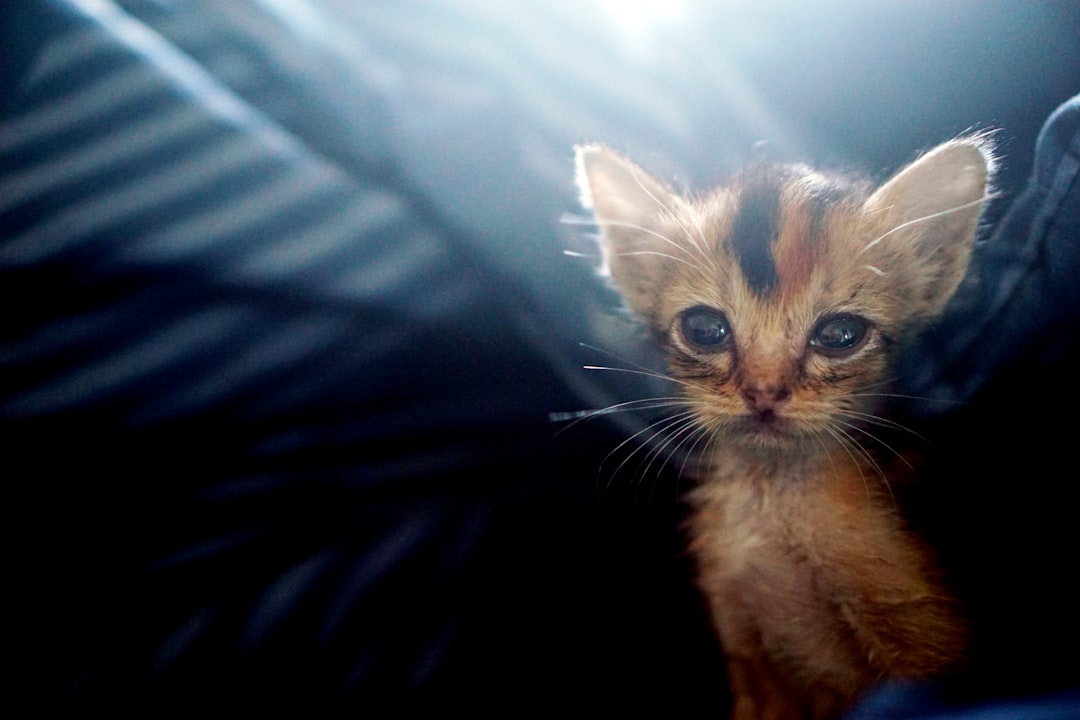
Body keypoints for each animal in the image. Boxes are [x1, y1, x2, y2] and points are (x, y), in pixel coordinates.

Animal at [574, 140, 993, 720]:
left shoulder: (925, 642)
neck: (771, 504)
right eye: (704, 329)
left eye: (840, 334)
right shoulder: (744, 646)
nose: (764, 391)